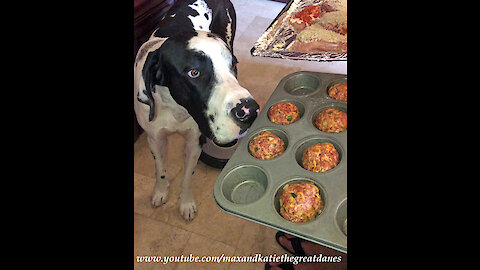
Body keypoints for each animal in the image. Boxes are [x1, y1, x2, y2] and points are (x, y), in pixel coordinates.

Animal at [133, 0, 258, 220]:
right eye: (194, 73)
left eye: (232, 65)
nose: (249, 111)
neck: (176, 108)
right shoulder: (154, 138)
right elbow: (160, 170)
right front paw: (160, 191)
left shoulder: (194, 141)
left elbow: (186, 178)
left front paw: (185, 203)